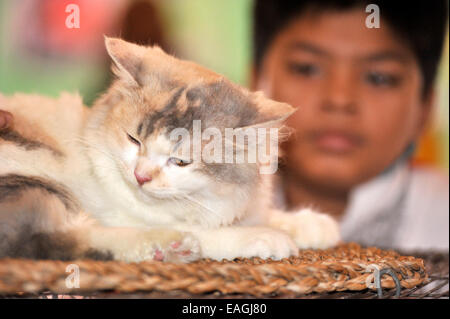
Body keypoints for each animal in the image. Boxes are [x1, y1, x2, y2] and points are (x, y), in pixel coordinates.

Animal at [0, 37, 338, 262]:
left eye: (180, 161)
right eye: (134, 140)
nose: (141, 176)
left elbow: (267, 213)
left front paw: (315, 226)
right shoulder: (118, 210)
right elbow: (207, 232)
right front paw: (265, 237)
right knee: (44, 242)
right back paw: (168, 246)